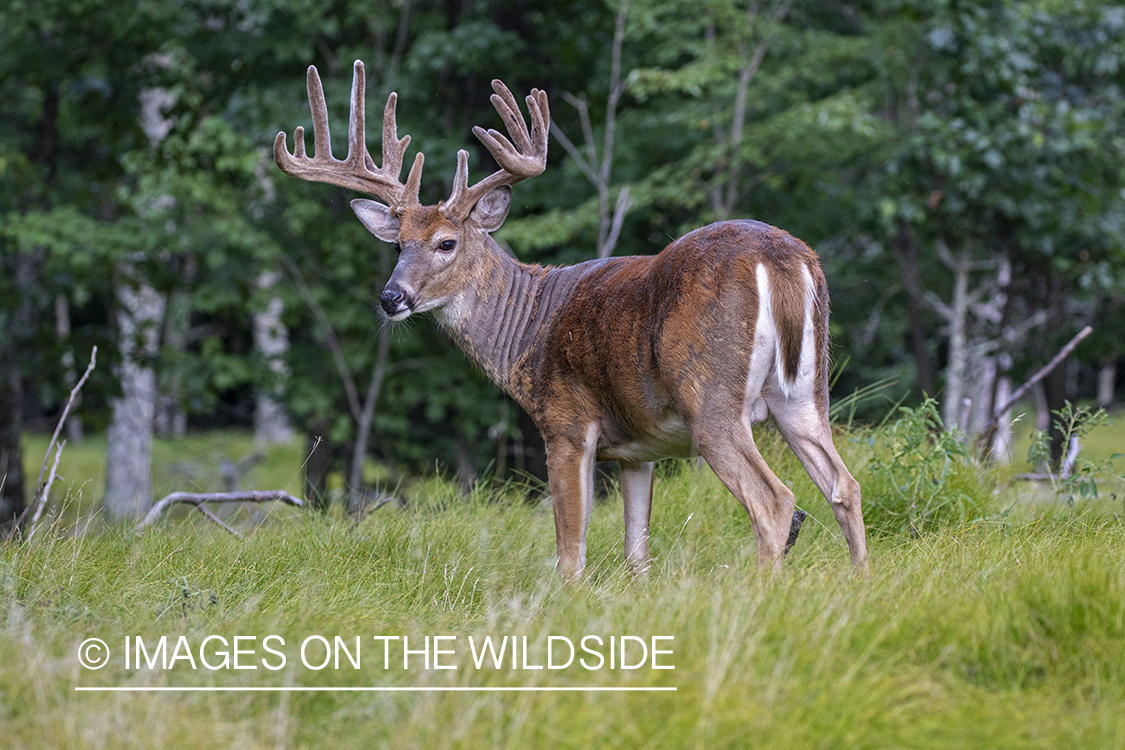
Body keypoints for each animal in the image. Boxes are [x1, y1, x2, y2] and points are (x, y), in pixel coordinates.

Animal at [274, 62, 868, 580]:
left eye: (446, 243)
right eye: (398, 244)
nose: (391, 297)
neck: (528, 327)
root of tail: (784, 256)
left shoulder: (566, 421)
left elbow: (569, 551)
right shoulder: (638, 449)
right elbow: (636, 552)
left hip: (712, 396)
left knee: (776, 501)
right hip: (805, 393)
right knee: (845, 485)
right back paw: (859, 586)